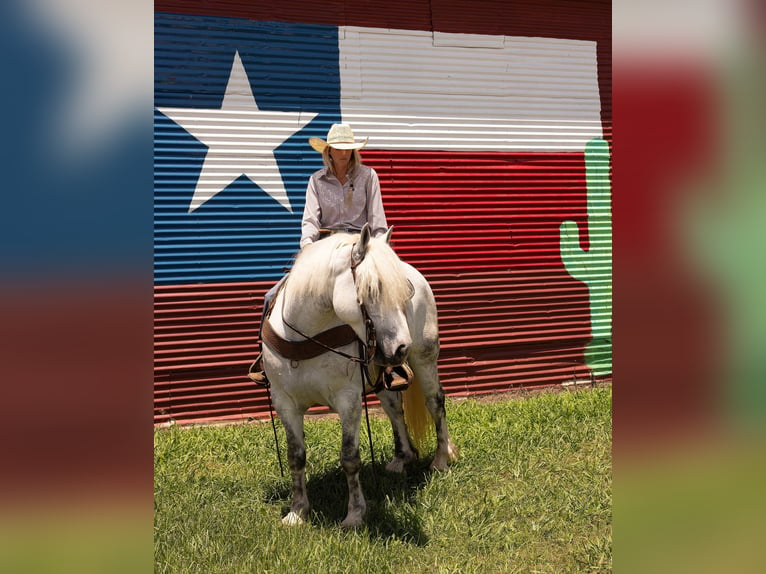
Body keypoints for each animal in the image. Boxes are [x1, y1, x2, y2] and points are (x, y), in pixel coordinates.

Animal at [260, 225, 460, 532]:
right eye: (372, 289)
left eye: (405, 293)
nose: (401, 348)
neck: (306, 337)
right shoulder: (284, 402)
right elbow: (296, 456)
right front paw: (297, 512)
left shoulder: (349, 401)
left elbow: (350, 458)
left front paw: (354, 515)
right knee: (394, 408)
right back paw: (402, 459)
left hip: (425, 358)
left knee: (435, 403)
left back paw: (441, 459)